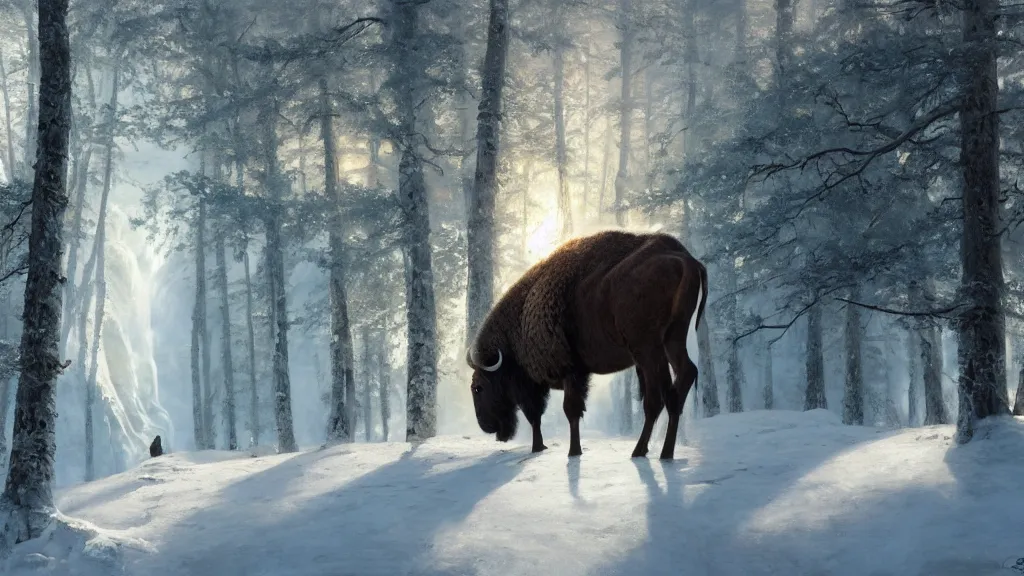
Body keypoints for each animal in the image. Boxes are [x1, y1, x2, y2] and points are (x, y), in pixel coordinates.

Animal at [468, 228, 708, 457]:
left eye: (478, 388)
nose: (486, 425)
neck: (522, 315)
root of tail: (685, 258)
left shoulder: (568, 372)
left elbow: (567, 410)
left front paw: (572, 451)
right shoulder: (573, 375)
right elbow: (539, 415)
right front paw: (541, 447)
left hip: (648, 350)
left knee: (656, 399)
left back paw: (641, 451)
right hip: (673, 338)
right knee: (681, 380)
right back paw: (663, 452)